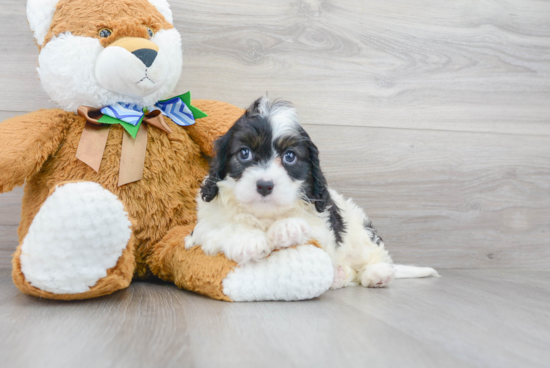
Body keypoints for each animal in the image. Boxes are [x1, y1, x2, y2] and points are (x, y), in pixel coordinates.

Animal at [189, 97, 440, 288]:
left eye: (290, 157)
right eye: (244, 153)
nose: (265, 185)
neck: (265, 216)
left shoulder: (323, 225)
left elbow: (308, 227)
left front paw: (287, 227)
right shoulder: (200, 231)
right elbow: (220, 229)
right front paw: (247, 240)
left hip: (359, 232)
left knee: (373, 256)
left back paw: (377, 273)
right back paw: (340, 275)